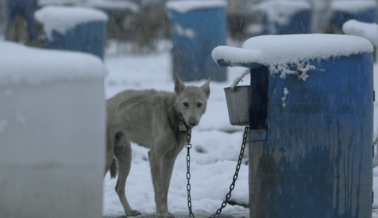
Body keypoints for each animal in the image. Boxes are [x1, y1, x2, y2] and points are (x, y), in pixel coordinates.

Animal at [105, 74, 211, 217]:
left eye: (199, 104)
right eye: (185, 104)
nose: (192, 122)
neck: (172, 115)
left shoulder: (170, 158)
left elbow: (165, 188)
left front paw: (165, 212)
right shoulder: (155, 155)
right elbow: (158, 189)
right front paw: (161, 212)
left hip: (126, 160)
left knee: (118, 188)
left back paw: (129, 211)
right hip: (107, 161)